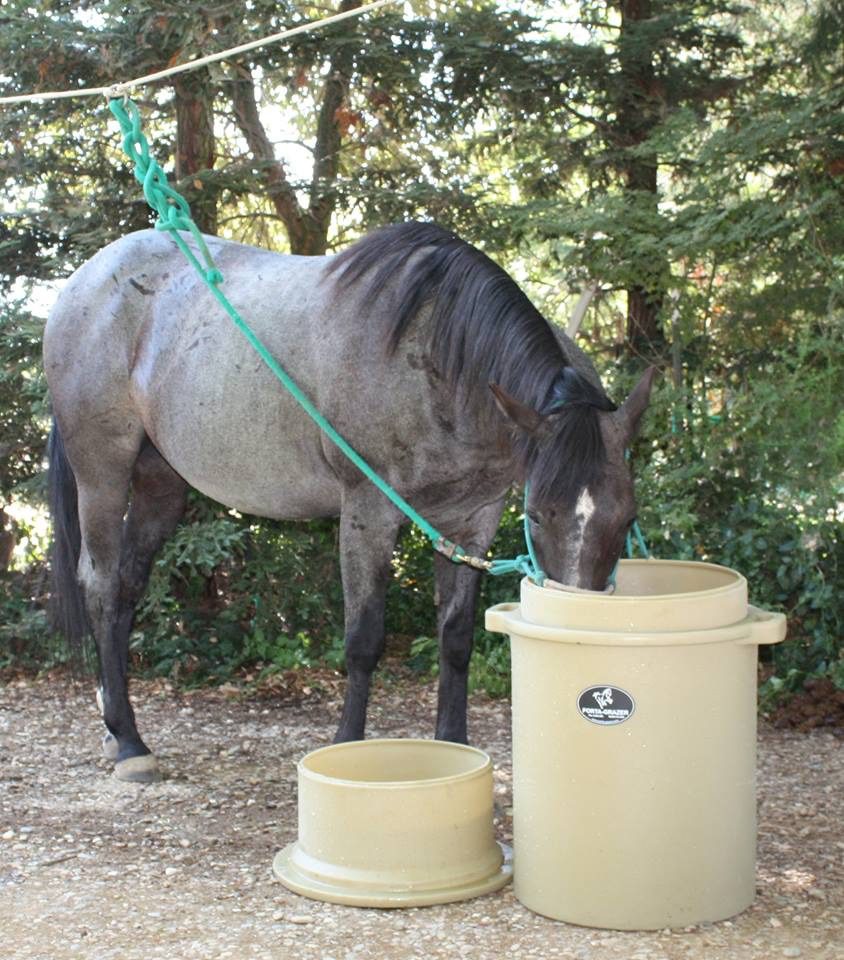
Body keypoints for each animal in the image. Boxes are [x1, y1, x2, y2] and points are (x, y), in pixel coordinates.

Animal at [42, 221, 656, 784]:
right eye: (538, 515)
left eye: (626, 516)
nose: (581, 627)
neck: (439, 356)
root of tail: (85, 281)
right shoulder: (369, 511)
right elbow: (363, 639)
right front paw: (346, 746)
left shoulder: (472, 521)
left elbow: (456, 638)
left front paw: (454, 744)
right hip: (103, 472)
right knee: (99, 583)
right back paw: (129, 745)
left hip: (160, 483)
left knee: (126, 587)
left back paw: (115, 726)